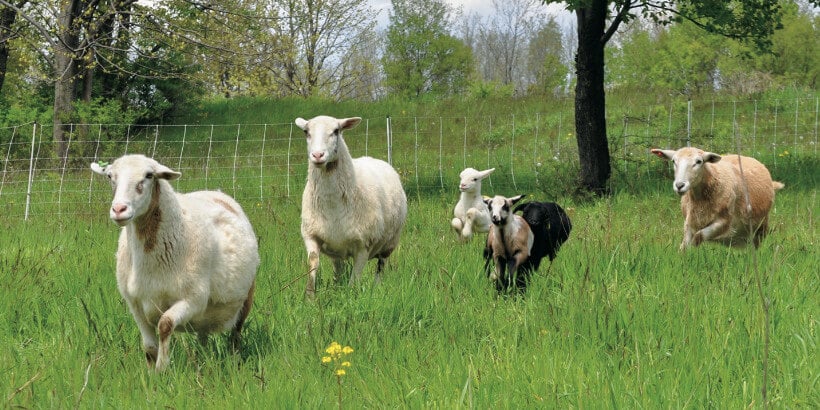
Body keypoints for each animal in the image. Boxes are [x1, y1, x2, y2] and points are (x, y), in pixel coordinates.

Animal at [90, 154, 259, 372]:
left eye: (149, 175)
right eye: (110, 176)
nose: (119, 209)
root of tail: (216, 192)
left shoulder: (193, 299)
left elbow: (165, 324)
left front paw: (162, 368)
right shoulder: (135, 304)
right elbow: (149, 346)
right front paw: (151, 375)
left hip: (246, 298)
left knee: (235, 335)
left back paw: (234, 361)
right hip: (205, 315)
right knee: (203, 334)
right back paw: (201, 358)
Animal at [296, 115, 408, 297]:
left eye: (336, 131)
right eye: (306, 132)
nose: (318, 155)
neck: (332, 205)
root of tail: (373, 158)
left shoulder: (363, 246)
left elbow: (354, 280)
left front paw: (350, 297)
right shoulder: (311, 235)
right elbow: (312, 264)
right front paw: (310, 297)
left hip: (389, 243)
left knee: (380, 267)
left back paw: (376, 287)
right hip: (335, 248)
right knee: (338, 269)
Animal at [651, 147, 784, 250]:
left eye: (699, 161)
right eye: (674, 161)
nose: (679, 185)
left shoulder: (724, 222)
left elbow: (698, 237)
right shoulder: (690, 220)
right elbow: (684, 246)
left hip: (760, 226)